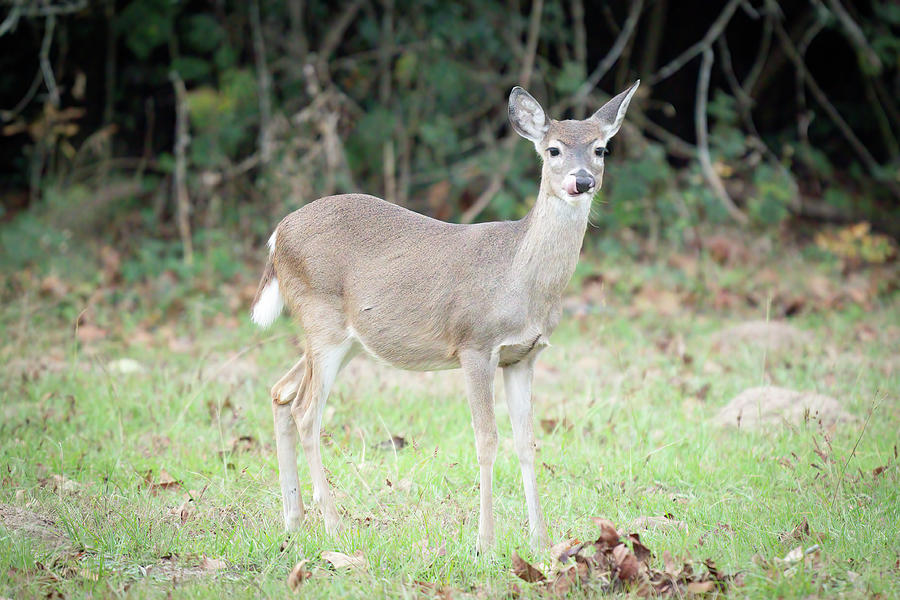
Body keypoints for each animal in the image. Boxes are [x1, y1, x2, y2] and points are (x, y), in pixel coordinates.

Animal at [250, 81, 636, 552]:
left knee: (281, 392)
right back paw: (333, 526)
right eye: (554, 150)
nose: (582, 181)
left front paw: (541, 542)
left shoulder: (524, 355)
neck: (519, 278)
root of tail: (276, 235)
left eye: (601, 149)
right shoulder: (475, 344)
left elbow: (526, 442)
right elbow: (486, 440)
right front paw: (485, 543)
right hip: (322, 321)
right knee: (307, 411)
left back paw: (294, 520)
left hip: (343, 338)